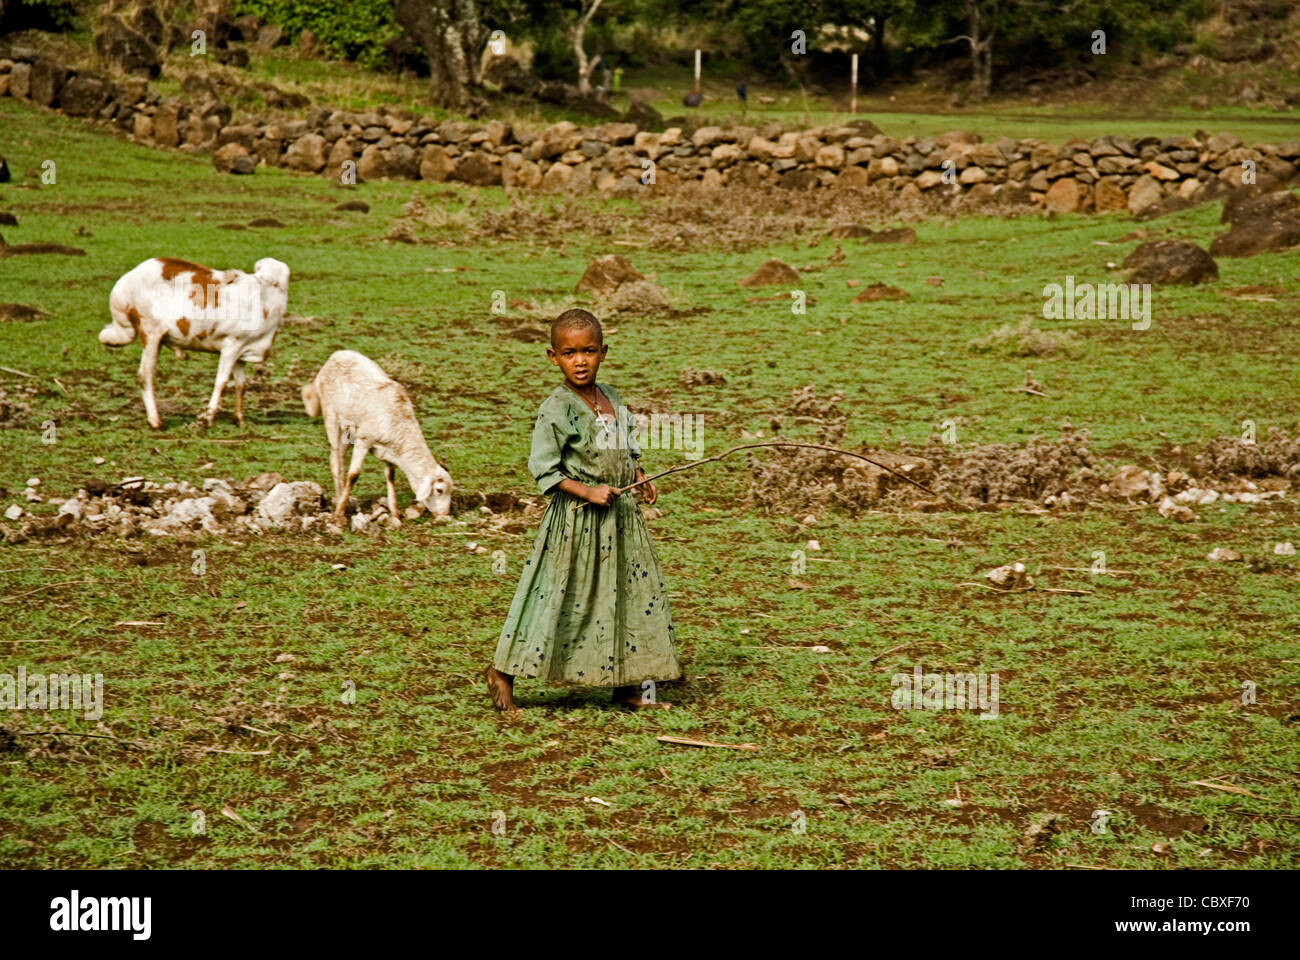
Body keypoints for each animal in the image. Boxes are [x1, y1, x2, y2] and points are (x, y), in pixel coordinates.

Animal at [99, 257, 292, 429]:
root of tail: (124, 283)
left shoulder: (241, 351)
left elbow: (241, 385)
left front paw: (240, 420)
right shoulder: (231, 345)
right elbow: (221, 383)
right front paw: (207, 419)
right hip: (151, 333)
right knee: (144, 375)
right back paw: (156, 422)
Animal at [301, 348, 454, 520]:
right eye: (439, 490)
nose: (444, 514)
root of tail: (336, 354)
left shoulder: (388, 450)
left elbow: (390, 476)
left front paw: (395, 513)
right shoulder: (364, 439)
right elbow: (353, 475)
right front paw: (340, 512)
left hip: (348, 429)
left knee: (340, 457)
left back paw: (340, 495)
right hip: (331, 415)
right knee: (335, 460)